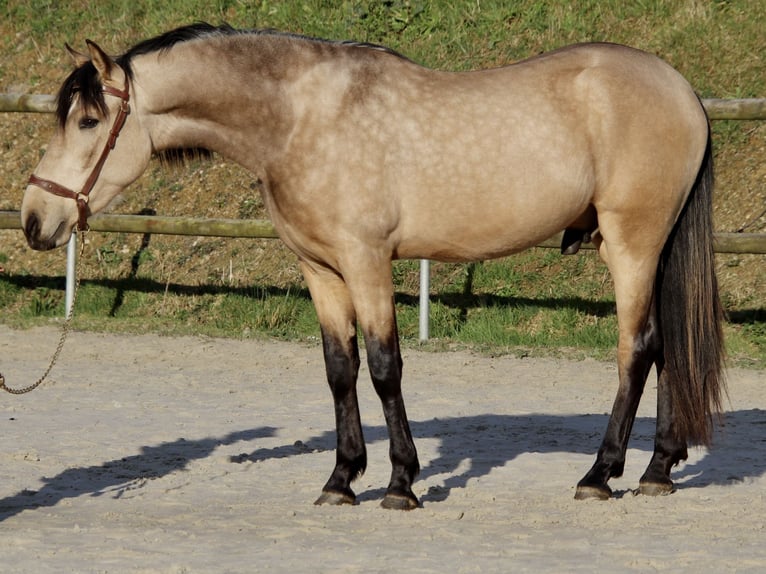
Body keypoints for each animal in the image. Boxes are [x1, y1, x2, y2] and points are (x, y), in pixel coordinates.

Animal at [19, 22, 728, 510]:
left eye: (89, 120)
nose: (33, 219)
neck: (300, 118)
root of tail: (683, 90)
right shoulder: (321, 270)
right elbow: (341, 370)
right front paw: (340, 479)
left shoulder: (367, 262)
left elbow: (386, 368)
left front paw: (400, 484)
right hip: (648, 249)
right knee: (666, 346)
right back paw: (658, 471)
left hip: (633, 245)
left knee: (636, 349)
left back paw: (600, 475)